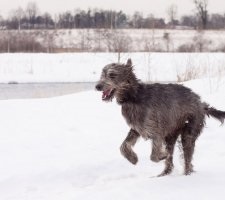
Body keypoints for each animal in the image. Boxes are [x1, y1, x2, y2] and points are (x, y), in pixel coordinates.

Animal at [95, 58, 225, 176]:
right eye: (102, 74)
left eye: (112, 75)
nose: (97, 86)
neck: (134, 97)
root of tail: (201, 104)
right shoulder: (137, 129)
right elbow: (123, 146)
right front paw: (133, 158)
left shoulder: (156, 130)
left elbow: (153, 156)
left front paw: (162, 155)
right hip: (171, 134)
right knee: (171, 160)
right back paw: (164, 174)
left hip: (189, 130)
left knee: (187, 157)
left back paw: (186, 174)